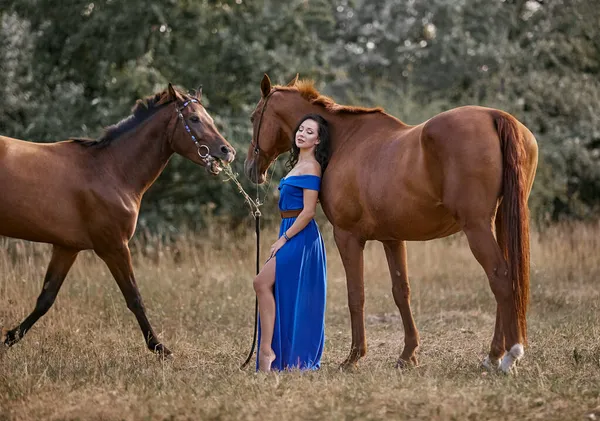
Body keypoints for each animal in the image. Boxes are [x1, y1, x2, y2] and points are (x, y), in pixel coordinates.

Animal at [0, 82, 234, 354]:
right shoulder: (114, 247)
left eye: (210, 118)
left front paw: (10, 337)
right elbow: (134, 298)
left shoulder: (66, 248)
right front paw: (159, 348)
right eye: (195, 119)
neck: (111, 170)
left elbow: (45, 299)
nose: (228, 151)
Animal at [244, 74, 540, 372]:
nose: (250, 168)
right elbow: (401, 291)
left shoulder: (347, 237)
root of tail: (495, 116)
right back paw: (497, 355)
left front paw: (353, 357)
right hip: (499, 222)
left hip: (477, 227)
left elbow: (356, 294)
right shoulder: (392, 238)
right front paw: (408, 354)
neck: (345, 141)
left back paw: (505, 355)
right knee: (508, 277)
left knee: (500, 278)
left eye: (254, 116)